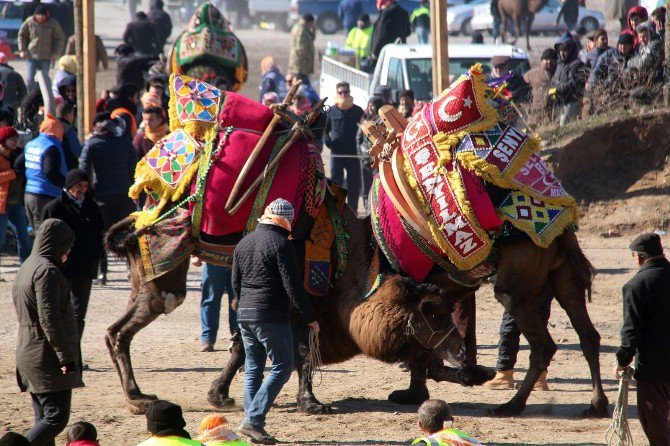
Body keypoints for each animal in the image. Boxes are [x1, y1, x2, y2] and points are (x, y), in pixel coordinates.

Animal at [107, 64, 612, 420]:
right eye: (432, 313)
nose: (457, 354)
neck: (355, 255)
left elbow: (286, 344)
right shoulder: (309, 290)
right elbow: (284, 343)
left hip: (523, 284)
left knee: (553, 342)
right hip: (554, 278)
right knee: (582, 335)